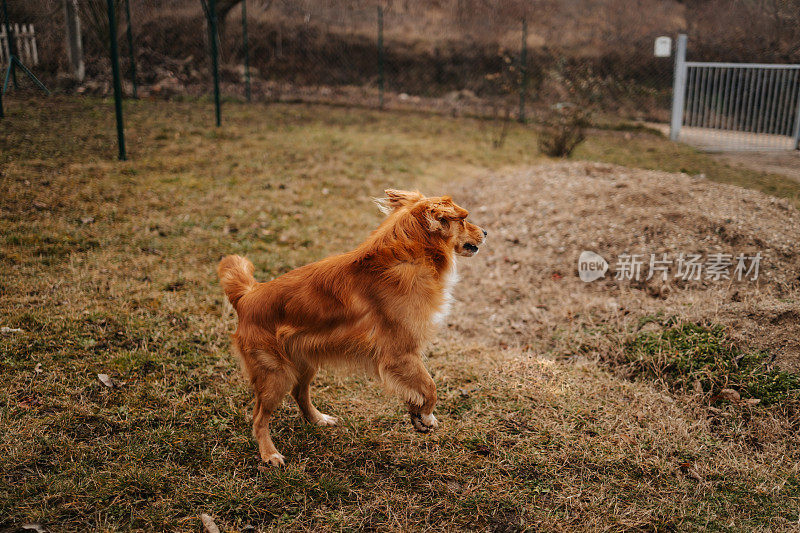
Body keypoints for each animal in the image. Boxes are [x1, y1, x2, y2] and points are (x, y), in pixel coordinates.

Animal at [216, 189, 484, 464]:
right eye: (464, 219)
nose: (485, 232)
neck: (408, 255)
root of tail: (247, 296)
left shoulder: (404, 357)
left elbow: (419, 387)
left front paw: (417, 415)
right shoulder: (400, 353)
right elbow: (430, 387)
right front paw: (427, 416)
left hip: (304, 361)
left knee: (299, 393)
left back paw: (318, 419)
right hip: (274, 376)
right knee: (259, 417)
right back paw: (269, 454)